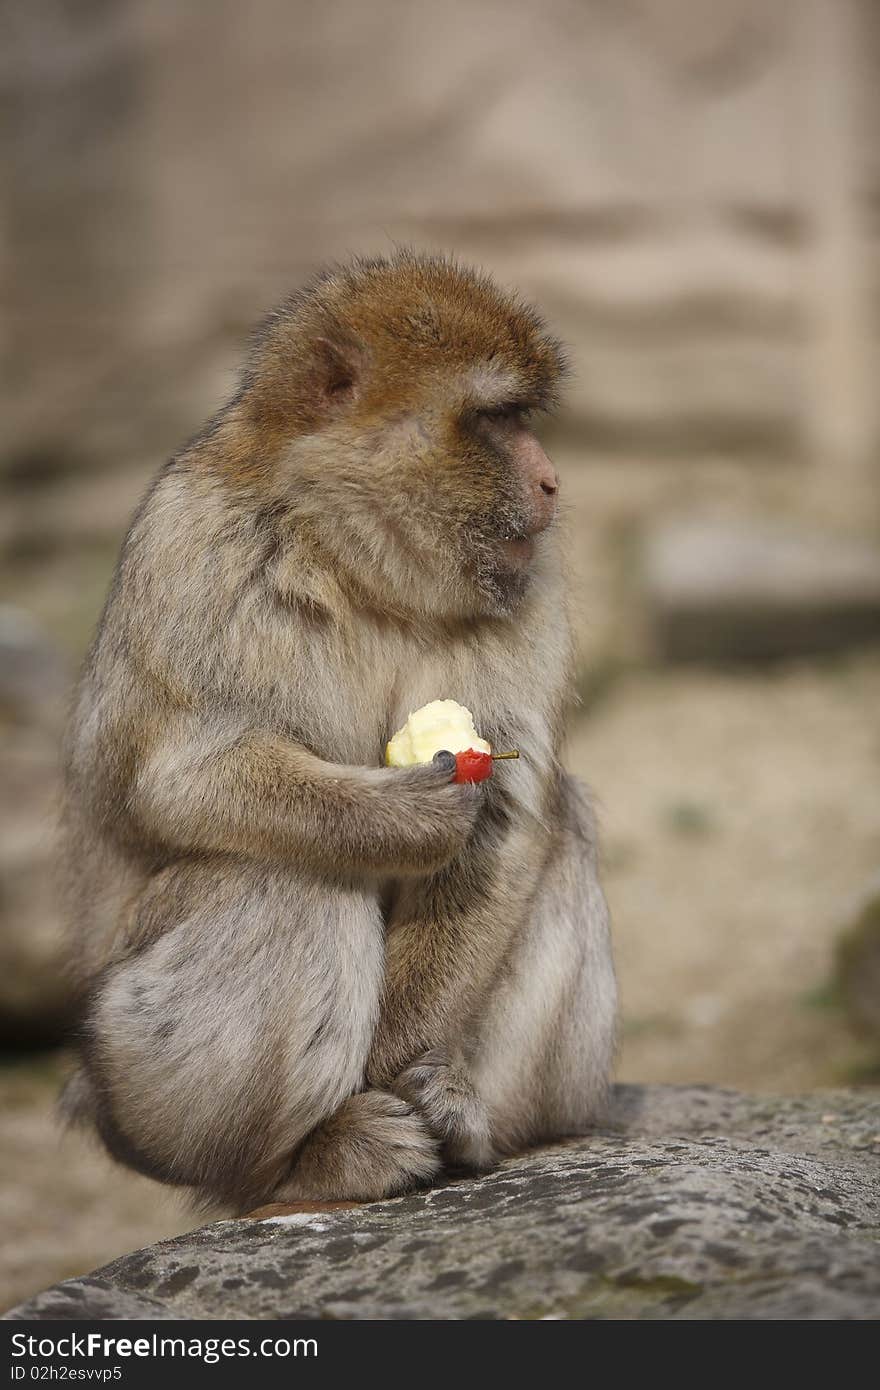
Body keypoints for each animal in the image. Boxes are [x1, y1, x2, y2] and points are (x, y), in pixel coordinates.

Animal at [58, 255, 614, 1212]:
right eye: (498, 420)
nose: (550, 482)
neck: (351, 561)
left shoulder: (527, 588)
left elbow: (505, 826)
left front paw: (405, 1068)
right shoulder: (195, 551)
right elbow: (181, 778)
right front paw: (401, 819)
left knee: (562, 824)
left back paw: (467, 1120)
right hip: (138, 1083)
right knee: (288, 875)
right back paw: (307, 1161)